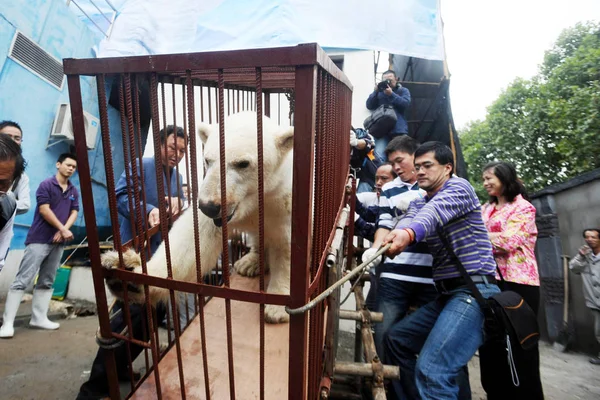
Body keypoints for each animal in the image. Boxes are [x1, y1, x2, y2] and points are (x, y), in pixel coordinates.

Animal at [103, 111, 296, 324]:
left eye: (243, 164)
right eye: (208, 160)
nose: (209, 206)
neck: (254, 202)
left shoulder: (284, 203)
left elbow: (286, 247)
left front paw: (277, 307)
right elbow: (195, 239)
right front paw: (129, 274)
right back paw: (249, 263)